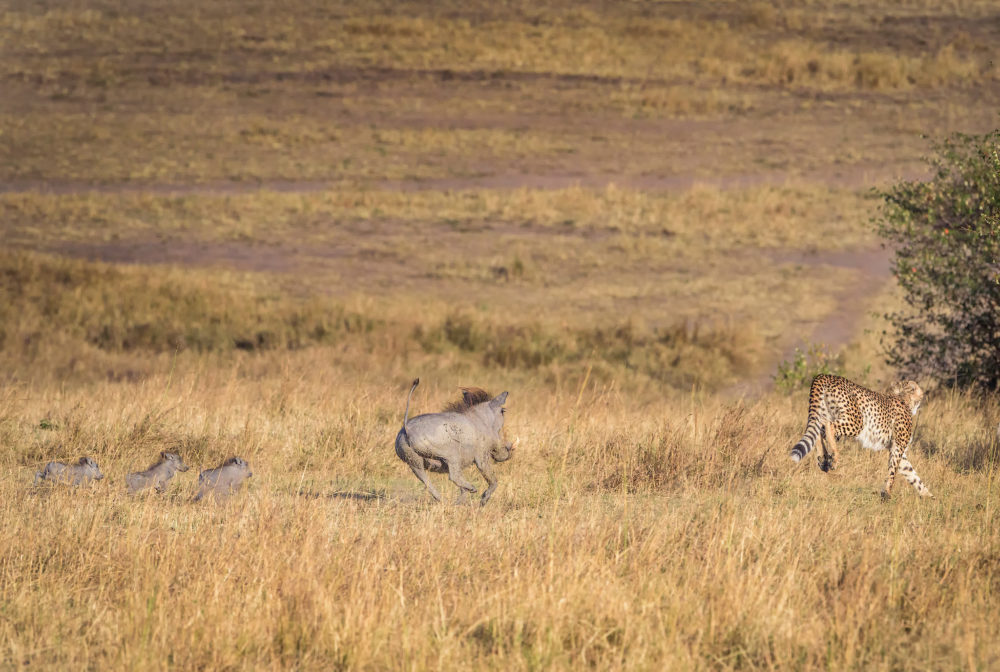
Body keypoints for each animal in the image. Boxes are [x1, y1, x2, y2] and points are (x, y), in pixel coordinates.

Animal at [792, 372, 932, 498]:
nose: (922, 395)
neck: (903, 397)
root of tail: (826, 375)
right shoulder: (898, 447)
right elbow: (893, 471)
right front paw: (887, 493)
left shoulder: (896, 449)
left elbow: (912, 474)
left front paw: (928, 495)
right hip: (856, 421)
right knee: (828, 426)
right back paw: (834, 458)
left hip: (824, 413)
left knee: (819, 429)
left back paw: (823, 459)